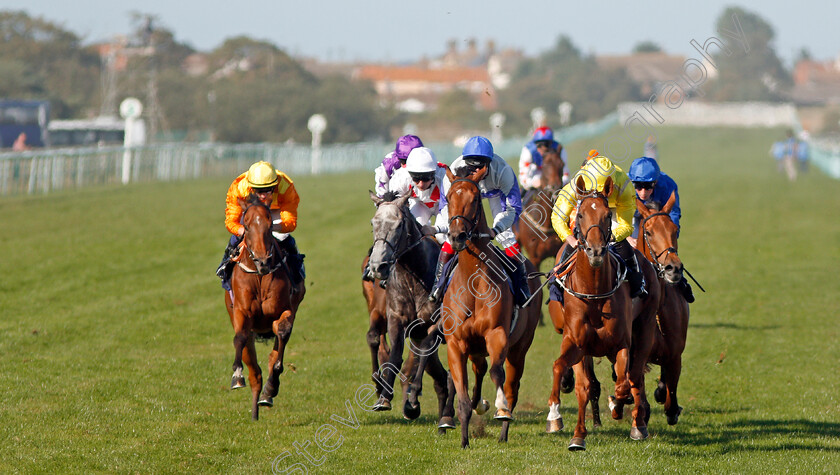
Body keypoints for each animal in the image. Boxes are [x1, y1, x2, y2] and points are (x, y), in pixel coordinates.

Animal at [223, 193, 306, 420]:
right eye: (246, 225)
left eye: (270, 226)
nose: (263, 261)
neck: (259, 276)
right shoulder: (241, 312)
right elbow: (240, 336)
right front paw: (236, 374)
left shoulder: (284, 310)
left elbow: (282, 334)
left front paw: (272, 386)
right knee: (255, 371)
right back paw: (253, 411)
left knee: (271, 357)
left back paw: (267, 395)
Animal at [366, 192, 452, 430]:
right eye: (373, 223)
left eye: (398, 225)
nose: (378, 266)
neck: (415, 275)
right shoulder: (396, 318)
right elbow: (395, 354)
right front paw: (384, 397)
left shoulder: (436, 322)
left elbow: (424, 351)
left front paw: (412, 400)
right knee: (442, 377)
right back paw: (445, 415)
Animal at [442, 165, 540, 448]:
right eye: (449, 197)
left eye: (475, 198)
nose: (457, 236)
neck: (473, 284)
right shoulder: (456, 343)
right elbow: (462, 392)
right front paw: (464, 439)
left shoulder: (497, 334)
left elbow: (498, 374)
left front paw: (500, 408)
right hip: (475, 349)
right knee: (479, 371)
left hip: (520, 347)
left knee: (512, 385)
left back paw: (504, 429)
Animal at [544, 177, 656, 452]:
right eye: (580, 214)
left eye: (607, 215)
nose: (595, 252)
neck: (594, 292)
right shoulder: (575, 342)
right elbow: (569, 375)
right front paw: (565, 425)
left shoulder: (621, 343)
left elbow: (624, 382)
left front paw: (618, 404)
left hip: (646, 328)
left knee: (635, 376)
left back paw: (638, 424)